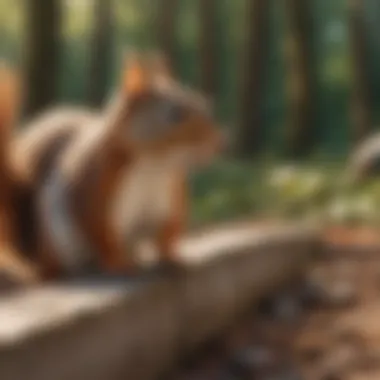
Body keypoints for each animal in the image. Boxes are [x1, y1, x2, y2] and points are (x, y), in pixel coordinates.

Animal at [34, 52, 224, 280]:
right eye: (176, 115)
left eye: (203, 104)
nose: (219, 143)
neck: (154, 164)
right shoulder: (97, 194)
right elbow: (105, 238)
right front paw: (119, 264)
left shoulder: (172, 197)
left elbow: (168, 232)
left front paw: (171, 258)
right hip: (58, 243)